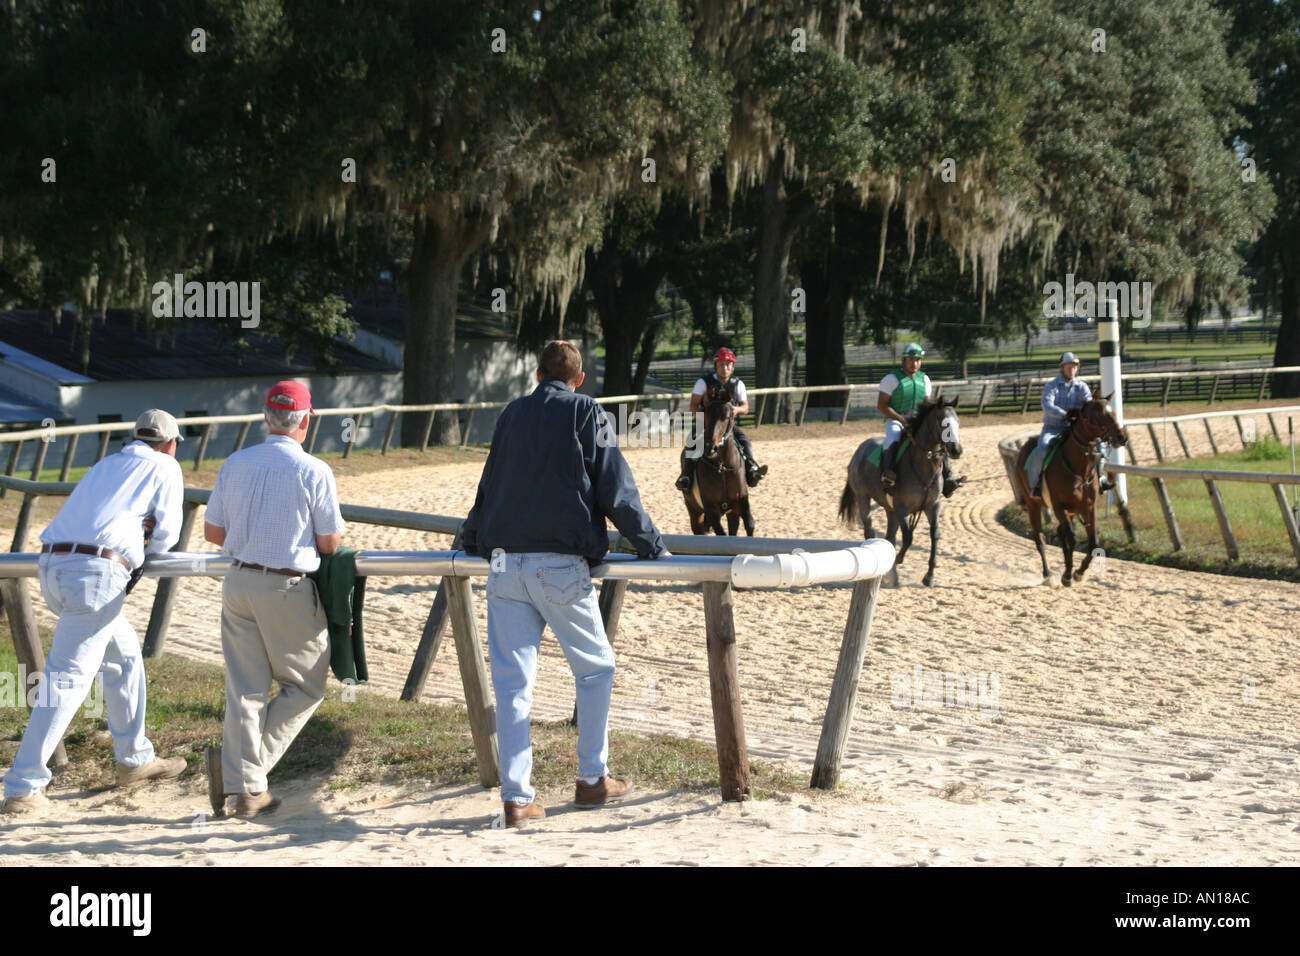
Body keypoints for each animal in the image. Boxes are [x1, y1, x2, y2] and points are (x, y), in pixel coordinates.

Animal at [681, 382, 754, 535]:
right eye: (706, 415)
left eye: (726, 416)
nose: (710, 448)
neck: (722, 467)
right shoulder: (711, 510)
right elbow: (721, 533)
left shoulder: (741, 502)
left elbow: (750, 524)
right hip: (694, 512)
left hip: (731, 513)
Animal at [837, 395, 961, 587]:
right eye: (942, 422)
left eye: (957, 422)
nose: (956, 450)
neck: (924, 468)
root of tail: (860, 450)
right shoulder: (902, 507)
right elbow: (908, 536)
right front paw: (899, 559)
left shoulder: (932, 505)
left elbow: (934, 535)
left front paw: (929, 576)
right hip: (863, 498)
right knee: (870, 530)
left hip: (890, 509)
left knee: (890, 537)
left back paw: (892, 576)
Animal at [1013, 392, 1128, 587]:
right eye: (1099, 415)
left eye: (1113, 412)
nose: (1122, 436)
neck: (1078, 469)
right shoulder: (1059, 506)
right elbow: (1072, 538)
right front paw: (1067, 575)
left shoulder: (1088, 506)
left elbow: (1093, 542)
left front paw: (1078, 573)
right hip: (1033, 504)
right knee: (1040, 539)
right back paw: (1048, 575)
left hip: (1072, 510)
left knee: (1060, 534)